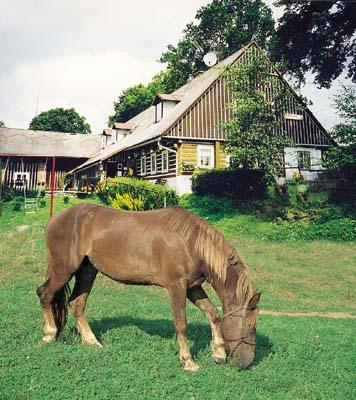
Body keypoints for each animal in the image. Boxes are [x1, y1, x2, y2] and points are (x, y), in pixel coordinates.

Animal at [36, 203, 260, 372]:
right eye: (249, 326)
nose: (246, 363)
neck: (190, 242)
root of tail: (56, 219)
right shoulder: (177, 286)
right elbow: (181, 324)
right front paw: (188, 361)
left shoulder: (193, 287)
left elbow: (213, 314)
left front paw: (219, 353)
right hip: (64, 269)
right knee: (45, 294)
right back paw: (49, 334)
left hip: (87, 272)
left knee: (76, 304)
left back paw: (92, 341)